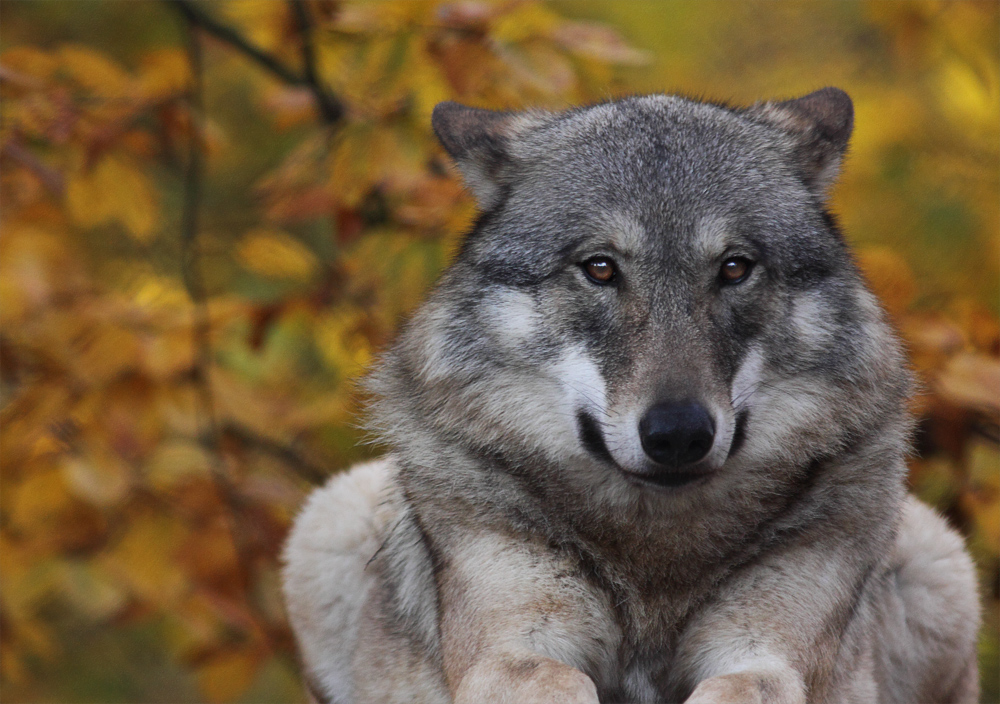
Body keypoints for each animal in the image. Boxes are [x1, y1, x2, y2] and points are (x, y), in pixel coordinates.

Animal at [280, 89, 976, 704]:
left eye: (734, 267)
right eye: (600, 267)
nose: (678, 433)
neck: (652, 557)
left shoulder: (769, 658)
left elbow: (742, 686)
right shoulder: (509, 655)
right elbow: (561, 680)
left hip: (938, 559)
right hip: (331, 517)